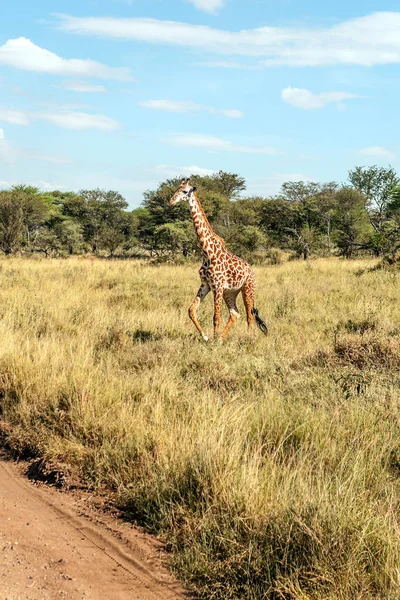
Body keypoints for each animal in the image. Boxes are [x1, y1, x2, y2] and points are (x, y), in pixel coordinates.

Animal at [170, 177, 268, 342]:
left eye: (184, 191)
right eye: (176, 189)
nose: (171, 201)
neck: (207, 252)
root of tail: (251, 270)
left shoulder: (217, 286)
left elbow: (216, 317)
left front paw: (213, 341)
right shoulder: (206, 284)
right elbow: (191, 310)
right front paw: (206, 337)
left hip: (248, 289)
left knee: (249, 315)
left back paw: (249, 338)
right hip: (231, 292)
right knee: (235, 313)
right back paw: (222, 338)